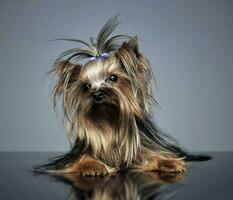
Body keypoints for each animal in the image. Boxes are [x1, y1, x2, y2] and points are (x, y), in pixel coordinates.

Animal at [35, 15, 211, 175]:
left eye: (113, 78)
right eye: (86, 86)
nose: (97, 94)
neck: (110, 122)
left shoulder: (143, 147)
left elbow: (153, 154)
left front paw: (169, 163)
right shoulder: (76, 155)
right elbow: (83, 157)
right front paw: (93, 166)